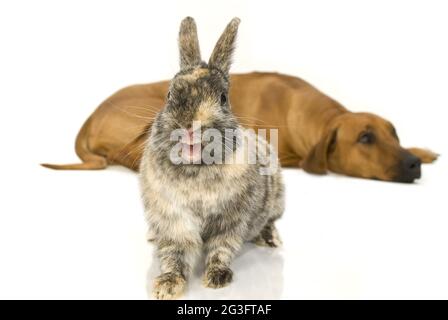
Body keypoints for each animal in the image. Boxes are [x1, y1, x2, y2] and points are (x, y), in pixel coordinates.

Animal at [43, 72, 438, 182]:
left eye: (394, 133)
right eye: (365, 138)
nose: (412, 164)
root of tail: (87, 119)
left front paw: (423, 151)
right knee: (128, 155)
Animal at [140, 16, 284, 298]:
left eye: (223, 98)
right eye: (169, 95)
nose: (188, 126)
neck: (196, 168)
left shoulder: (230, 223)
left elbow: (221, 249)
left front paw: (217, 278)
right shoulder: (174, 222)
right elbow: (174, 253)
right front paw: (167, 286)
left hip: (277, 201)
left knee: (270, 221)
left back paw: (271, 239)